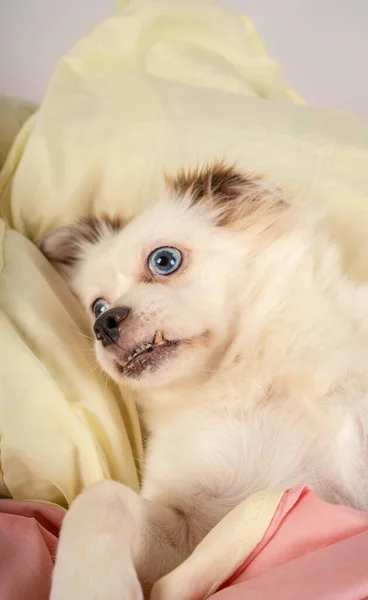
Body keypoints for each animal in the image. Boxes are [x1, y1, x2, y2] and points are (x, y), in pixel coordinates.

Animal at [41, 163, 368, 600]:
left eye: (164, 260)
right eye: (97, 305)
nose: (104, 325)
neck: (248, 378)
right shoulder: (197, 532)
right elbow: (100, 499)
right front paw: (92, 584)